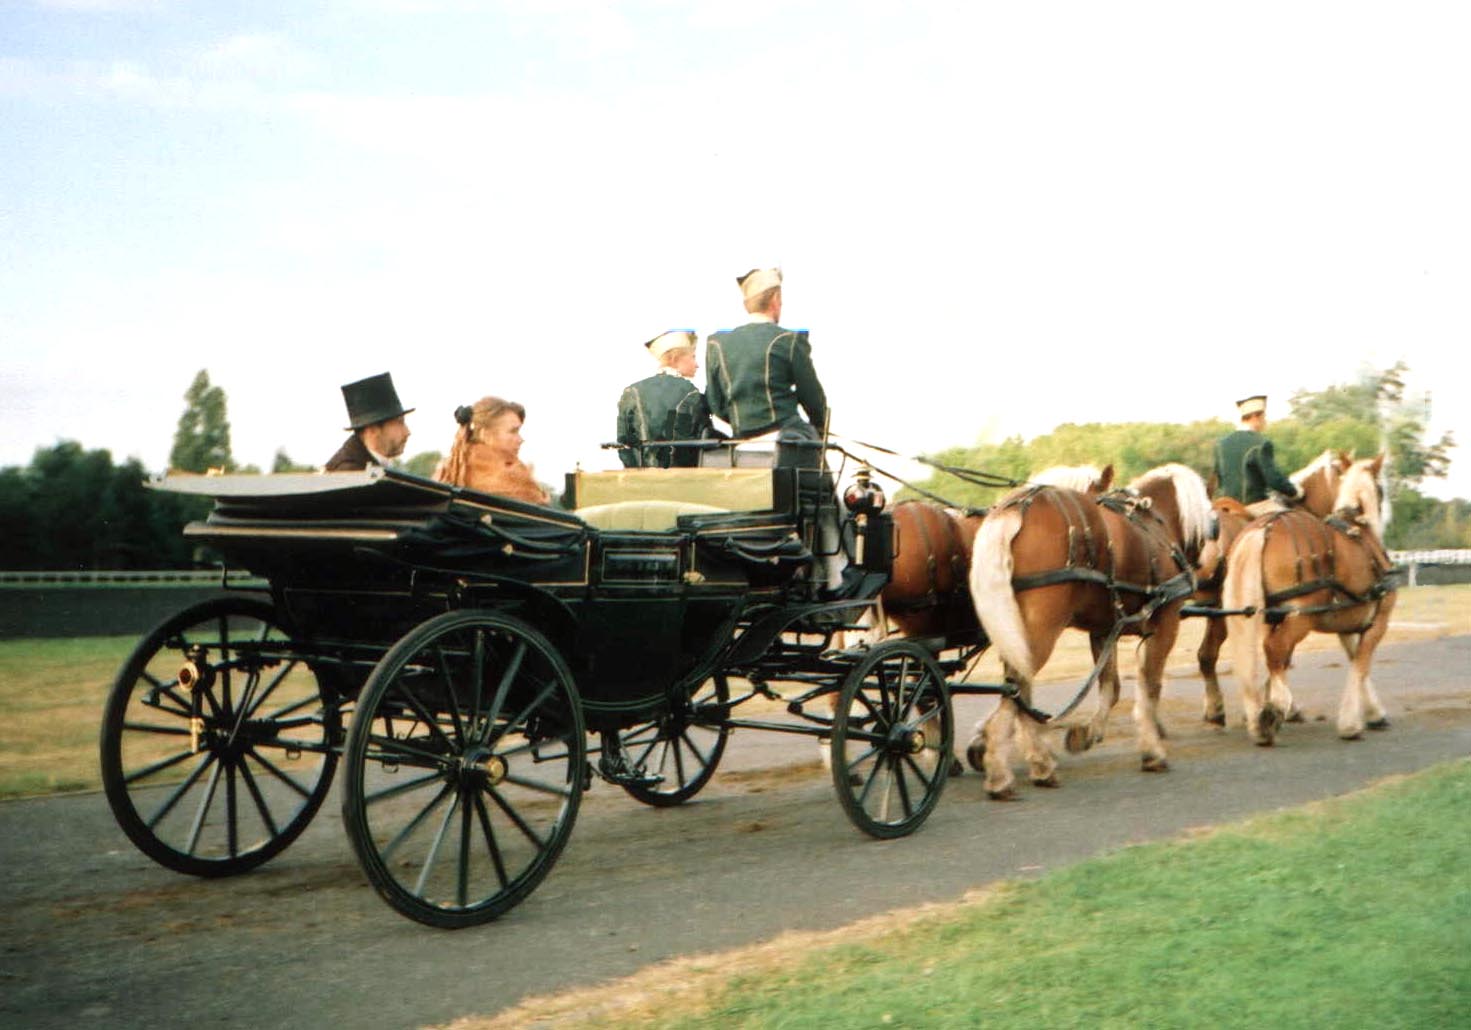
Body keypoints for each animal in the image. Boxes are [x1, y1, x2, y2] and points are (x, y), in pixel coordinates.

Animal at [964, 464, 1206, 794]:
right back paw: (1014, 770)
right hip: (1039, 631)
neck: (1156, 525)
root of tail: (1016, 509)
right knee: (1018, 687)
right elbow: (1150, 686)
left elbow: (1111, 688)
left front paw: (1085, 734)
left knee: (1017, 689)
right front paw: (1152, 751)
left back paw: (1025, 758)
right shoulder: (1165, 623)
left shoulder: (1104, 630)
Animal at [1223, 453, 1394, 744]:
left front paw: (1371, 713)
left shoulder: (1348, 624)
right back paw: (1275, 709)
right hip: (1300, 617)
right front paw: (1352, 723)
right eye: (1381, 487)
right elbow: (1360, 665)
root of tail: (1263, 528)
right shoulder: (1378, 623)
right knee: (1274, 649)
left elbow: (1355, 661)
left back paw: (1257, 717)